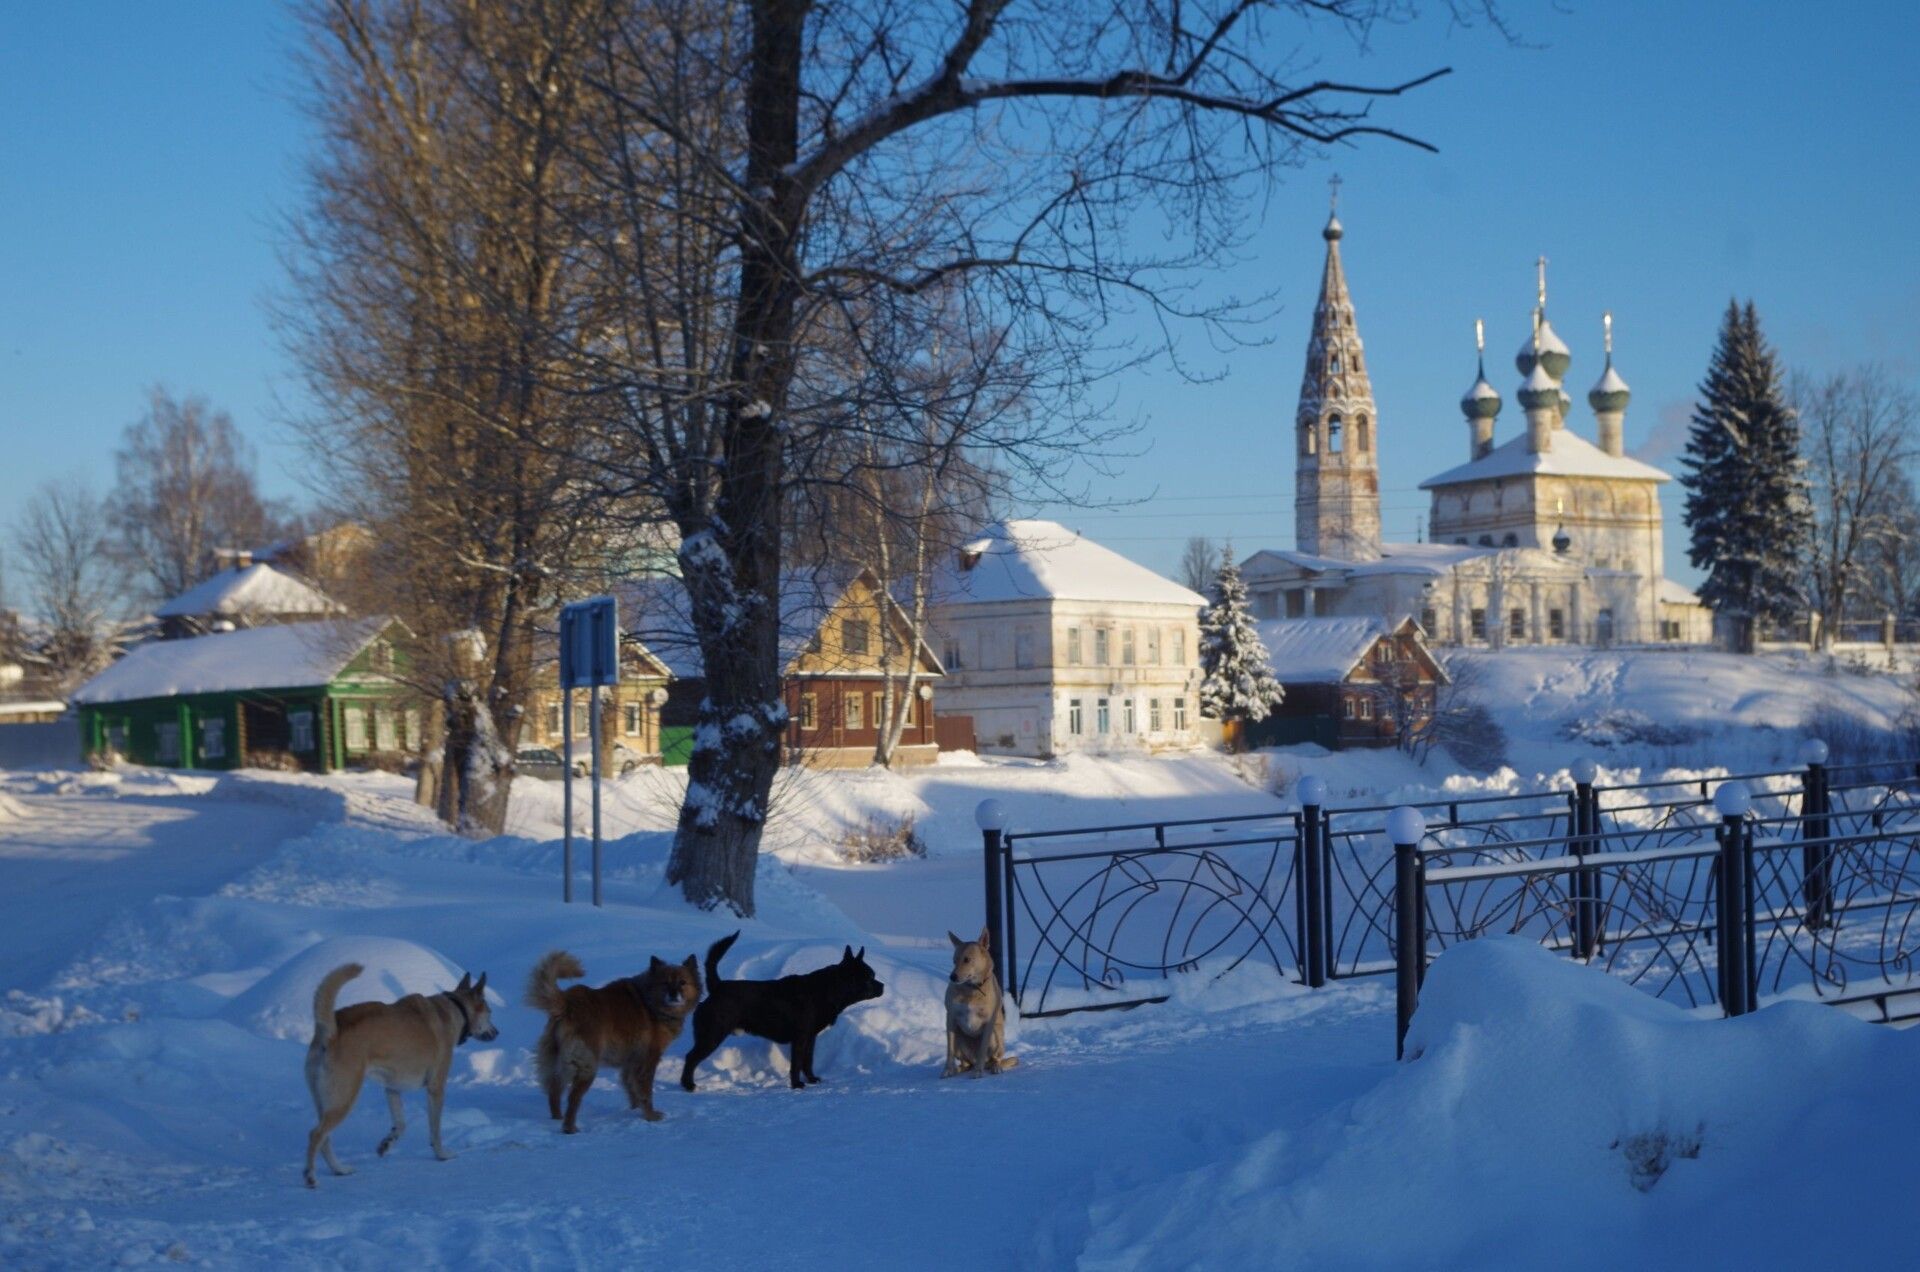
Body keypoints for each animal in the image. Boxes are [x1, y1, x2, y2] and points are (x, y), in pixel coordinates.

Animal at [299, 968, 495, 1198]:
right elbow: (435, 1130)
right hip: (344, 1098)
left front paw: (386, 1144)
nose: (497, 1032)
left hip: (326, 1102)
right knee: (316, 1134)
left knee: (324, 1139)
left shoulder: (392, 1088)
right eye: (490, 1012)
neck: (455, 1008)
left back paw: (339, 1169)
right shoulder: (436, 1088)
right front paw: (441, 1154)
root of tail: (330, 1031)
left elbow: (400, 1124)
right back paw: (310, 1177)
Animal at [529, 945, 702, 1137]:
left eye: (682, 982)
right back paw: (569, 1128)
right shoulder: (648, 1060)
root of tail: (568, 1003)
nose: (673, 994)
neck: (650, 1001)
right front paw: (650, 1116)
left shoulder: (630, 1062)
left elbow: (631, 1088)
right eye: (665, 983)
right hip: (587, 1066)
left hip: (557, 1061)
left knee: (554, 1090)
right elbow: (645, 1092)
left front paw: (635, 1110)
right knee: (573, 1097)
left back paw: (556, 1118)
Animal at [675, 933, 883, 1091]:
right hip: (712, 1036)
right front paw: (796, 1085)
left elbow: (808, 1062)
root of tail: (718, 987)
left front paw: (811, 1079)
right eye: (869, 977)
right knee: (691, 1058)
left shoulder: (810, 1038)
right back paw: (688, 1085)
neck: (828, 989)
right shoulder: (800, 1038)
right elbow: (796, 1064)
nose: (883, 986)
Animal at [944, 933, 1021, 1083]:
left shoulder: (988, 1023)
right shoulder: (950, 1018)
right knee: (966, 1063)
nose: (952, 977)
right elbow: (949, 1049)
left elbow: (982, 1049)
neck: (972, 989)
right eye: (954, 961)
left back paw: (994, 1067)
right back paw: (960, 1069)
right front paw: (948, 1070)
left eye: (967, 959)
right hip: (959, 1041)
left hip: (996, 1036)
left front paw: (978, 1072)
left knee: (994, 1058)